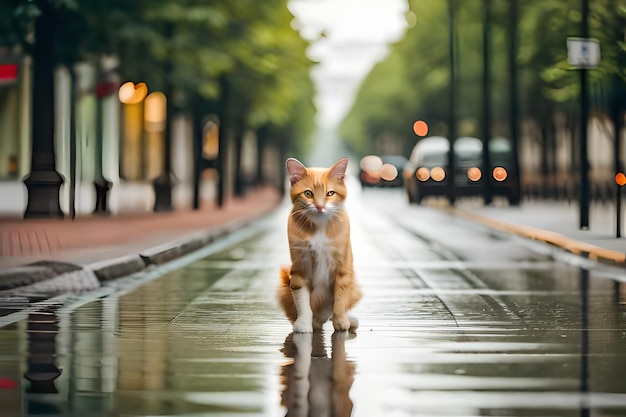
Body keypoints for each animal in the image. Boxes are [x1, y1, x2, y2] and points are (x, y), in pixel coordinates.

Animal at [278, 156, 360, 332]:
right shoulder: (299, 268)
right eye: (308, 193)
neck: (319, 226)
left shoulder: (342, 268)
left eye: (330, 193)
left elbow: (339, 299)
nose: (320, 206)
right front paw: (303, 323)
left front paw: (341, 321)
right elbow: (302, 301)